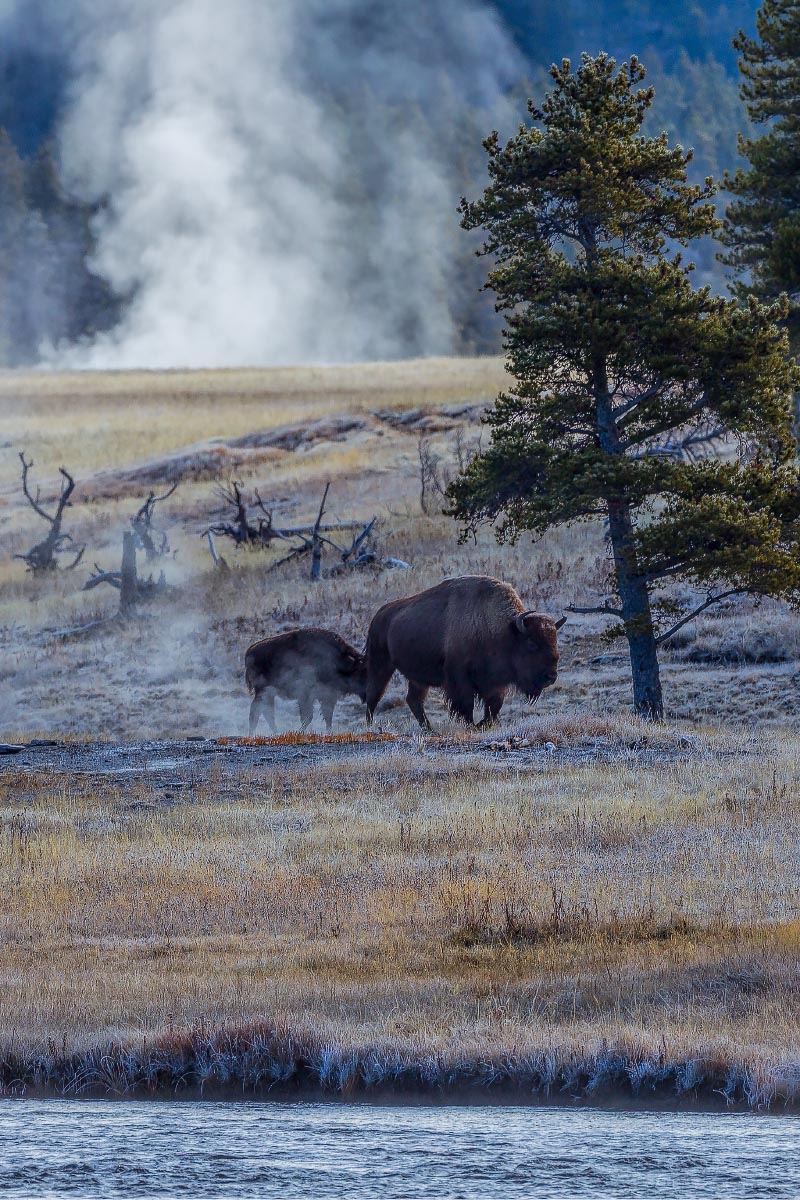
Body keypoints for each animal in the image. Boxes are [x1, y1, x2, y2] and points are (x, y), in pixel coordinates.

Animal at [367, 573, 566, 724]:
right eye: (531, 643)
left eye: (555, 641)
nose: (551, 676)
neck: (504, 630)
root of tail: (380, 614)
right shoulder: (459, 678)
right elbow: (466, 704)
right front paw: (472, 724)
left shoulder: (495, 682)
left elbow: (494, 704)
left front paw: (484, 724)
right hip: (380, 665)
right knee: (373, 696)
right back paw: (371, 726)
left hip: (418, 678)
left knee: (414, 700)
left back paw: (429, 729)